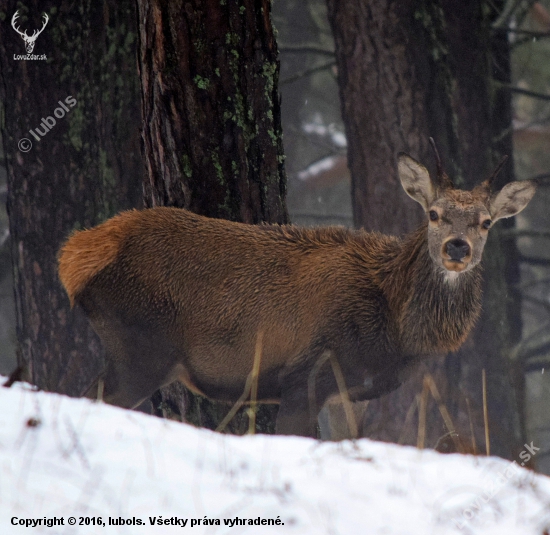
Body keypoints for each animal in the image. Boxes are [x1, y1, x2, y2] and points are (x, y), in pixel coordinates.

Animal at [58, 144, 536, 438]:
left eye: (485, 222)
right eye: (434, 214)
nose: (458, 247)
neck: (395, 325)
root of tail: (75, 256)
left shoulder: (351, 393)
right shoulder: (307, 373)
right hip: (140, 347)